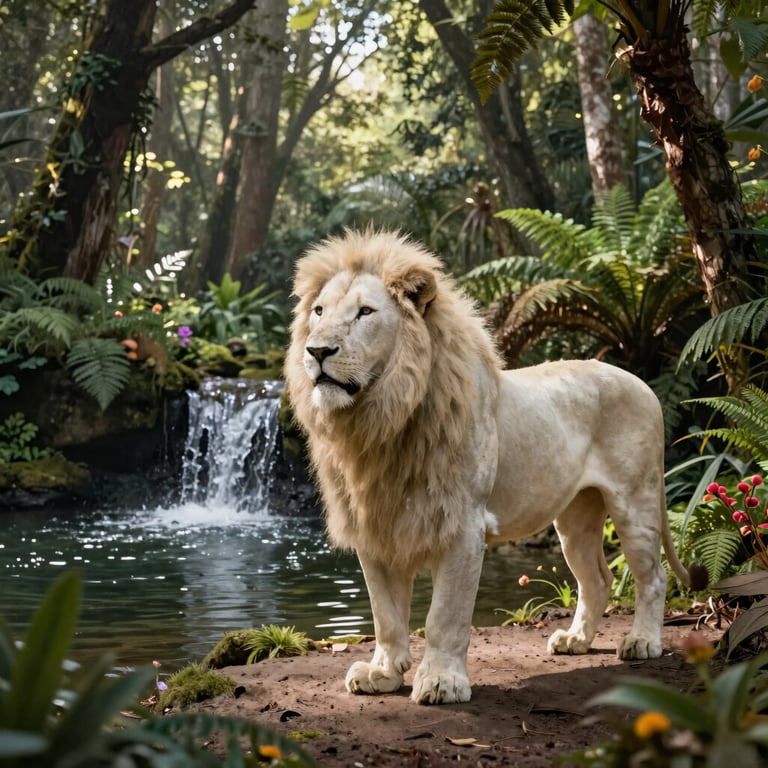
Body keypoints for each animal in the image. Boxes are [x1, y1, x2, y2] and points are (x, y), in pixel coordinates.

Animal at [284, 229, 705, 705]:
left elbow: (444, 615)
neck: (381, 421)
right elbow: (385, 615)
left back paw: (642, 642)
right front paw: (383, 674)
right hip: (575, 519)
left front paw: (442, 681)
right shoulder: (375, 527)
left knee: (652, 577)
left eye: (365, 312)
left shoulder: (463, 524)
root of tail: (644, 385)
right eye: (319, 312)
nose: (317, 350)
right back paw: (575, 641)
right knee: (595, 581)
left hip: (635, 502)